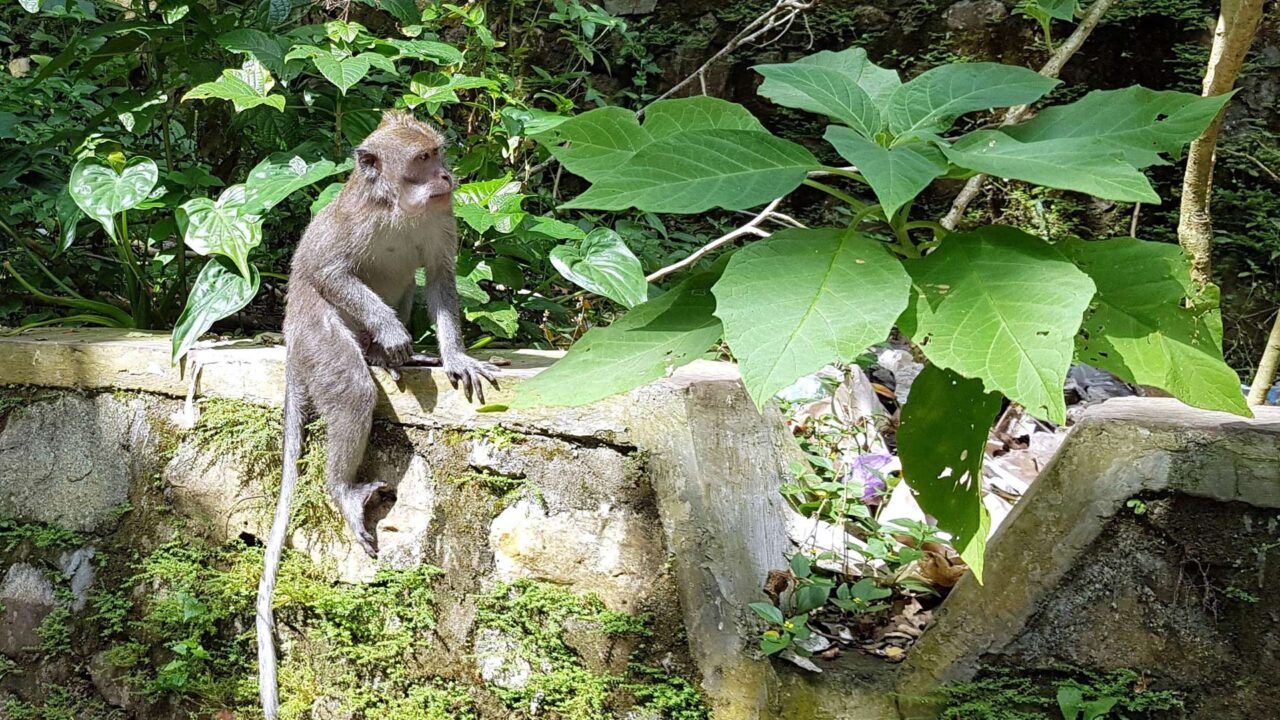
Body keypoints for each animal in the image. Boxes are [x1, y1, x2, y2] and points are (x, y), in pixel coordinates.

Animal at [254, 109, 499, 712]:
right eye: (422, 160)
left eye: (438, 153)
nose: (447, 177)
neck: (399, 206)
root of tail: (289, 343)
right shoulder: (354, 222)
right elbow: (326, 269)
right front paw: (392, 335)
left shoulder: (441, 219)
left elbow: (440, 278)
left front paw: (454, 355)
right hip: (313, 334)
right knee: (348, 386)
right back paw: (344, 481)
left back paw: (390, 356)